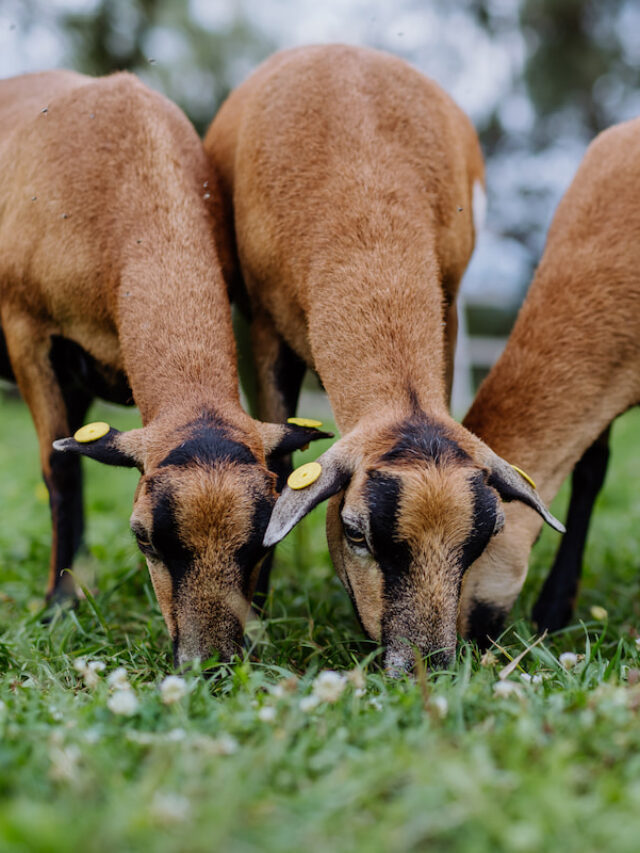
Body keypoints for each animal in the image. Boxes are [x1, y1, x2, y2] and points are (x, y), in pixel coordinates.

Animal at [0, 70, 328, 666]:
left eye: (262, 539)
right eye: (143, 538)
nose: (212, 665)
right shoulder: (26, 331)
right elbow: (59, 469)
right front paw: (58, 608)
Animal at [204, 44, 562, 672]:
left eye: (479, 542)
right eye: (355, 533)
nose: (425, 668)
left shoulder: (447, 303)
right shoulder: (265, 330)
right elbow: (278, 463)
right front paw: (257, 613)